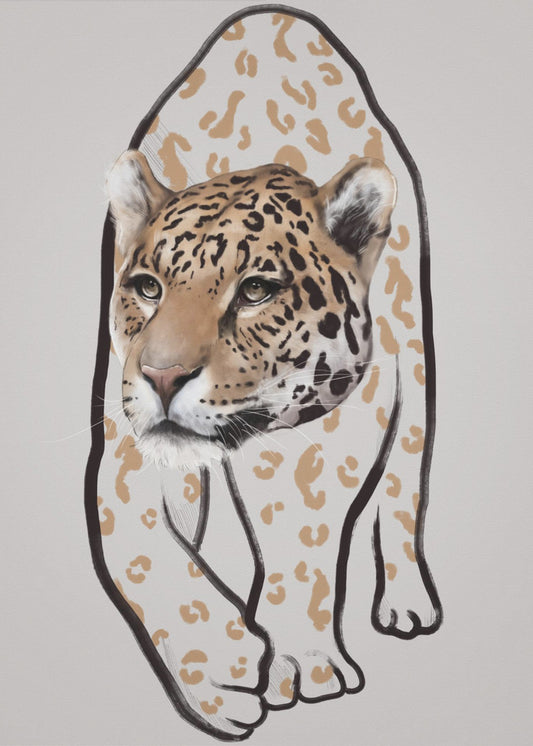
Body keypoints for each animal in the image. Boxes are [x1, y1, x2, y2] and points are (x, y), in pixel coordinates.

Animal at [86, 6, 441, 742]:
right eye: (145, 287)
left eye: (255, 291)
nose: (162, 376)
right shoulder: (121, 440)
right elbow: (140, 550)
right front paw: (219, 667)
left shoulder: (330, 432)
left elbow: (303, 546)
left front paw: (303, 665)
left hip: (415, 374)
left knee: (402, 489)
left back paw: (407, 602)